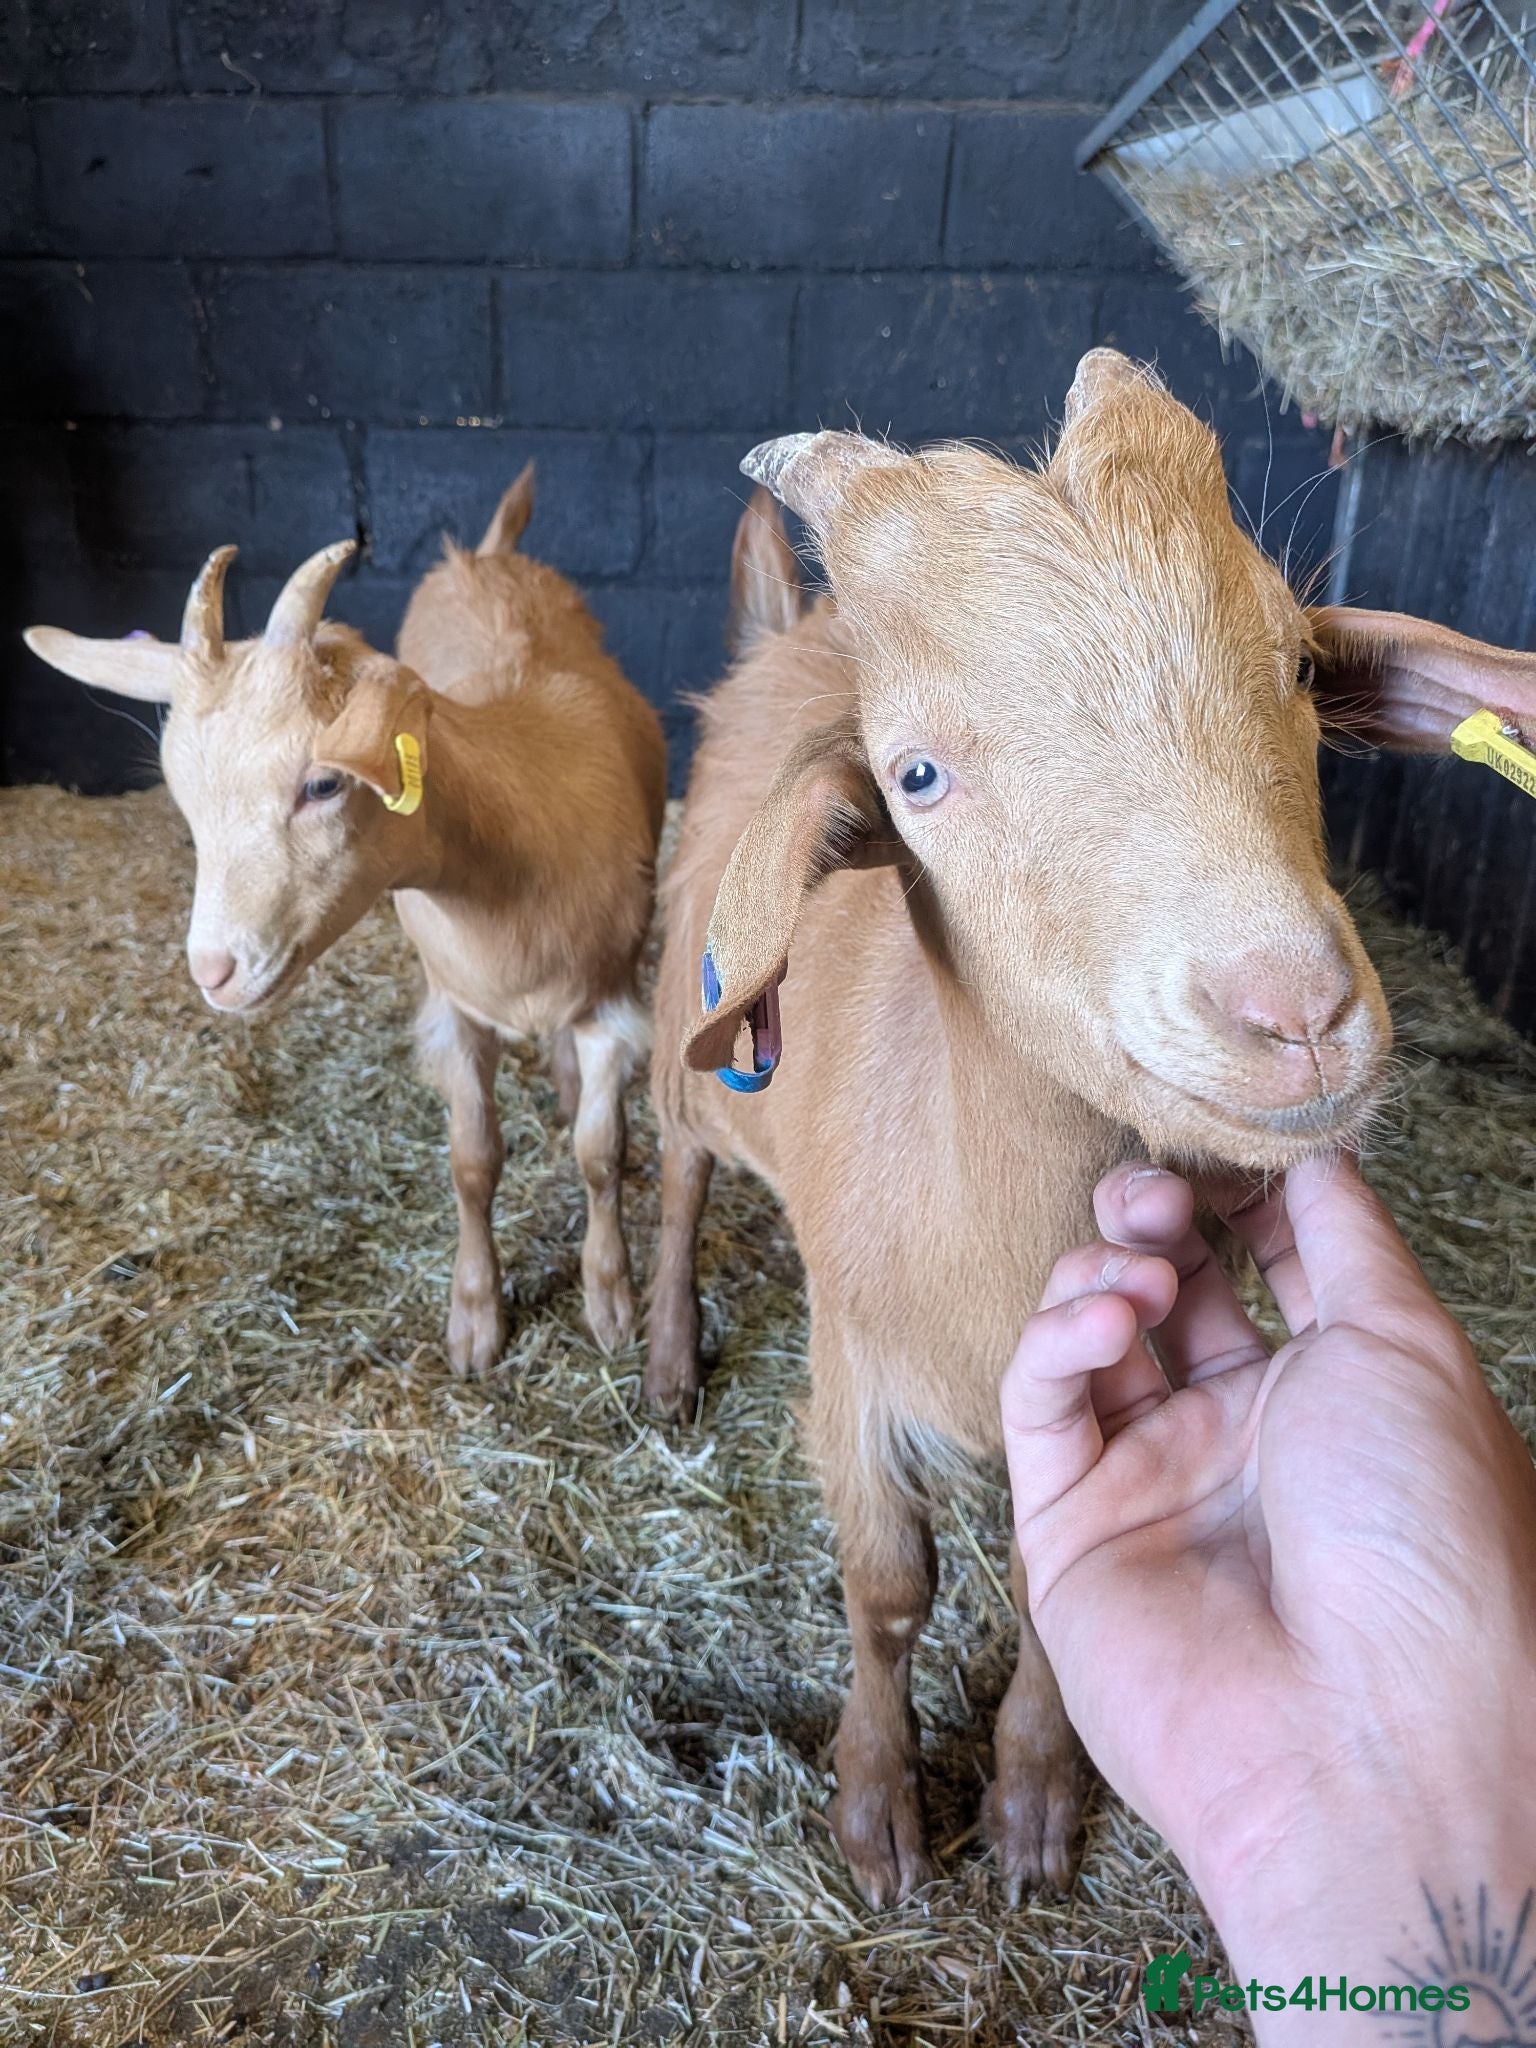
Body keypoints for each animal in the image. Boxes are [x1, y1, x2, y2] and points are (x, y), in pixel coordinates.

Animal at [26, 464, 667, 1365]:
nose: (214, 971)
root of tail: (484, 554)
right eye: (179, 793)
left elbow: (601, 1156)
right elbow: (473, 1161)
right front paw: (475, 1319)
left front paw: (611, 1303)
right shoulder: (451, 1011)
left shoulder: (612, 1005)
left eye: (324, 783)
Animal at [649, 350, 1536, 1908]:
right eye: (917, 775)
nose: (1295, 1010)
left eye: (1299, 666)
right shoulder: (850, 1362)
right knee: (665, 1168)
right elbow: (889, 1590)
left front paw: (1034, 1805)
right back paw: (660, 1346)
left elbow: (1051, 1590)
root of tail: (795, 635)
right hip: (681, 1058)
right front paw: (879, 1814)